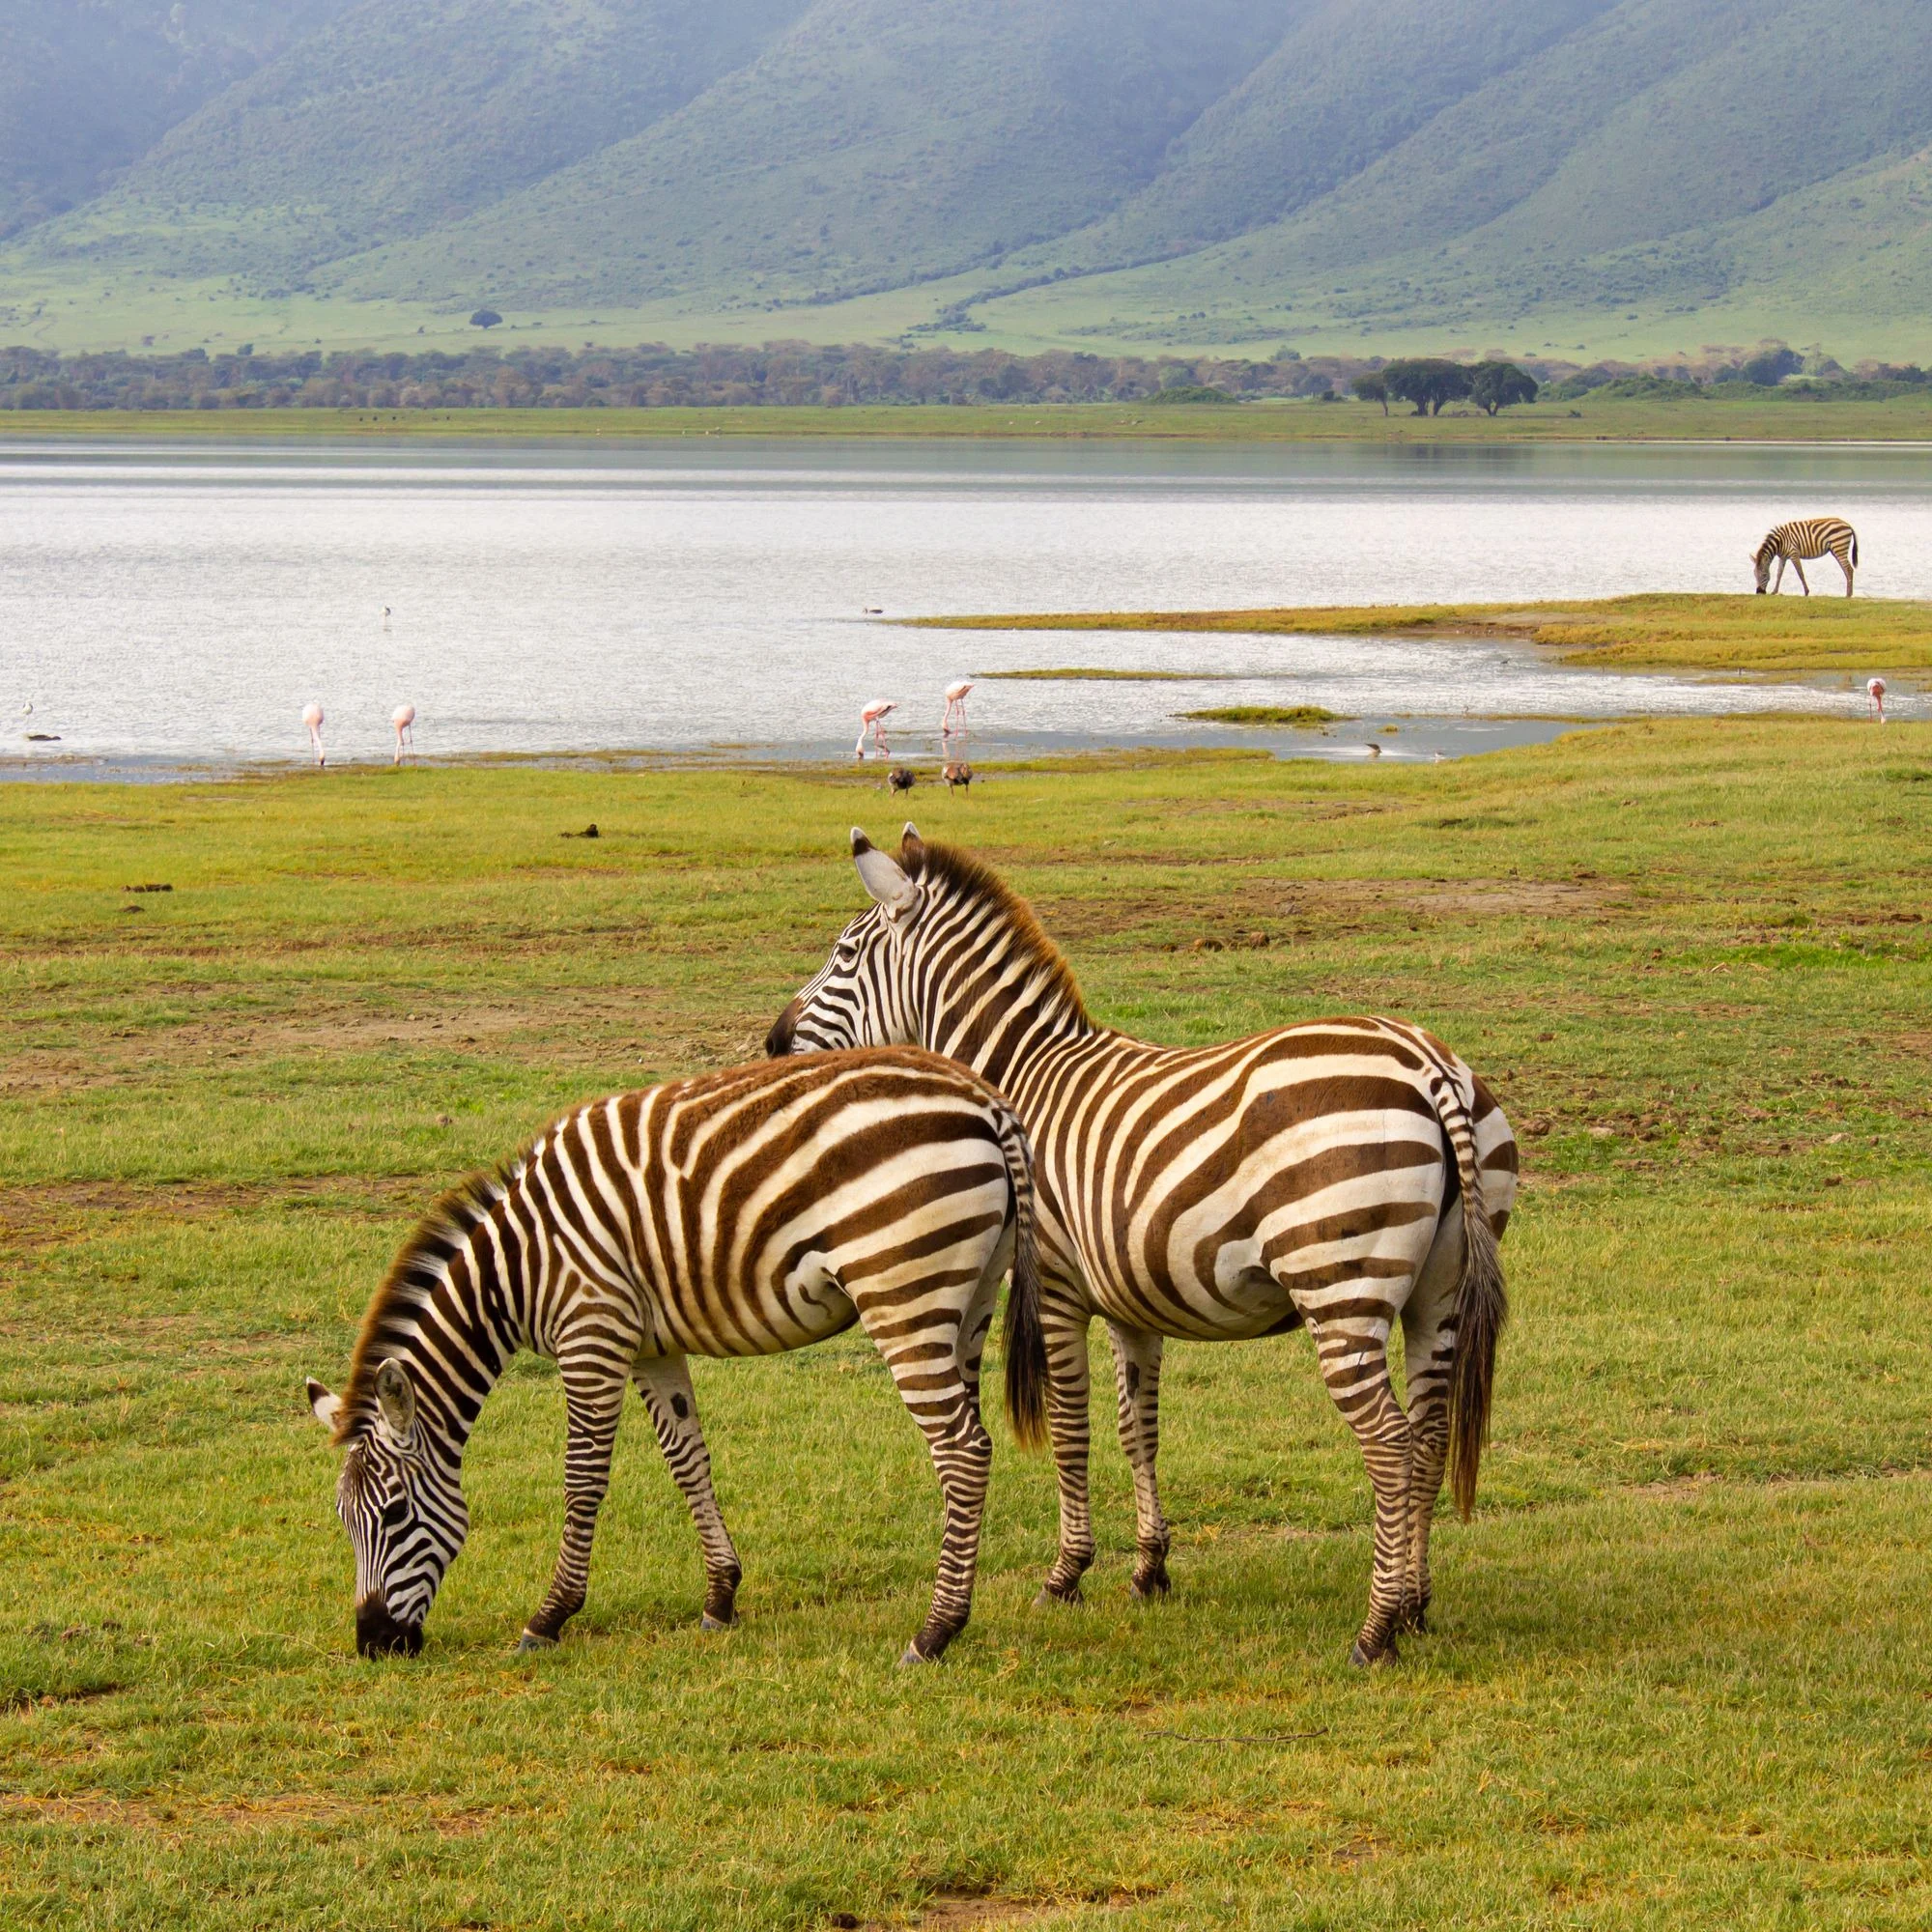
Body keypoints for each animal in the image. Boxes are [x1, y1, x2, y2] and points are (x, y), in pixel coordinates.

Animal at [305, 1049, 1047, 1664]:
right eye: (343, 1521)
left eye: (394, 1515)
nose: (374, 1645)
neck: (516, 1267)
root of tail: (987, 1103)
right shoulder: (650, 1348)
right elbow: (687, 1460)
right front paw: (721, 1596)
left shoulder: (592, 1332)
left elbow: (582, 1479)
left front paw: (549, 1617)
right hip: (972, 1296)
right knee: (973, 1443)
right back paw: (954, 1613)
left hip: (902, 1290)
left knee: (962, 1451)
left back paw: (934, 1632)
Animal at [768, 828, 1518, 1666]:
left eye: (842, 951)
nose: (773, 1042)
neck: (1021, 1076)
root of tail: (1429, 1064)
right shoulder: (1134, 1299)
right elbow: (1140, 1430)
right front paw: (1149, 1567)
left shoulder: (1057, 1286)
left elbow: (1071, 1429)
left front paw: (1066, 1576)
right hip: (1437, 1293)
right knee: (1427, 1433)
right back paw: (1416, 1606)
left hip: (1341, 1287)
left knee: (1389, 1442)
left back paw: (1376, 1628)